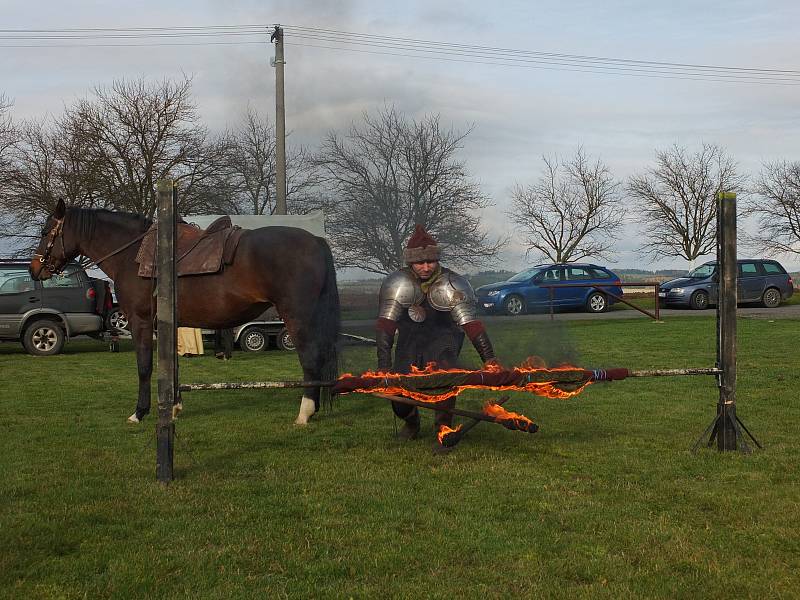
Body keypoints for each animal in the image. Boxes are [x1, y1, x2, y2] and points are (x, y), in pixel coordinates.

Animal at [28, 202, 338, 426]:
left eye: (45, 232)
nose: (34, 269)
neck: (133, 255)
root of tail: (316, 241)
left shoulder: (141, 322)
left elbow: (144, 367)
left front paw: (140, 412)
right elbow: (173, 366)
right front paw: (174, 405)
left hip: (297, 316)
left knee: (310, 358)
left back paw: (305, 412)